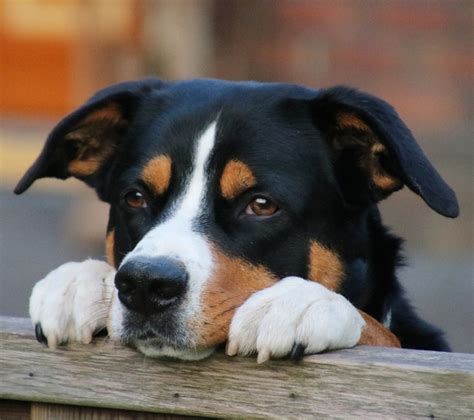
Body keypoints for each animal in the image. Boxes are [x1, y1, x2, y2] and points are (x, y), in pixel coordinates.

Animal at [15, 78, 460, 360]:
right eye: (135, 198)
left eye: (261, 205)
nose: (144, 284)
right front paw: (80, 282)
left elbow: (384, 333)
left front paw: (301, 303)